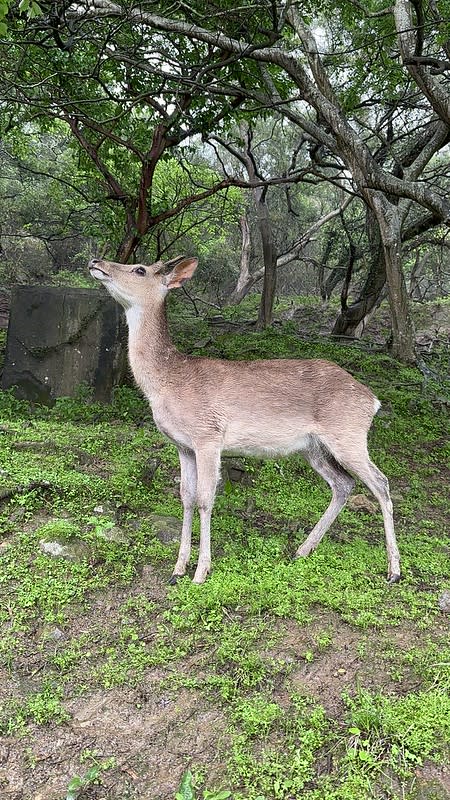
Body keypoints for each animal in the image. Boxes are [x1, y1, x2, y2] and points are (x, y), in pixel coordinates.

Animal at [89, 256, 400, 588]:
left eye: (140, 270)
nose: (95, 261)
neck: (166, 383)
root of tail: (373, 401)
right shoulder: (182, 445)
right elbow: (186, 497)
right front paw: (177, 569)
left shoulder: (209, 436)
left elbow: (205, 499)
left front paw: (201, 572)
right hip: (313, 448)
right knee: (344, 483)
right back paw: (301, 550)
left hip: (348, 434)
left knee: (381, 482)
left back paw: (393, 570)